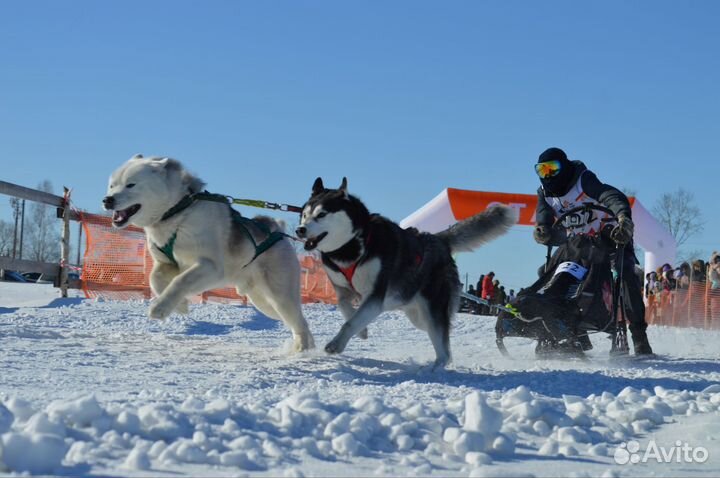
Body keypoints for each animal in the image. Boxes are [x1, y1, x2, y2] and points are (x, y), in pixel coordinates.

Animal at [103, 155, 316, 352]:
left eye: (130, 184)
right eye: (112, 185)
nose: (107, 200)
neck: (177, 213)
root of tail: (277, 231)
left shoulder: (210, 266)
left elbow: (180, 281)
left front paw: (160, 308)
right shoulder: (165, 264)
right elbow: (155, 279)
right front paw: (180, 304)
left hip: (281, 297)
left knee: (300, 322)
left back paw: (303, 349)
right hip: (264, 303)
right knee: (298, 322)